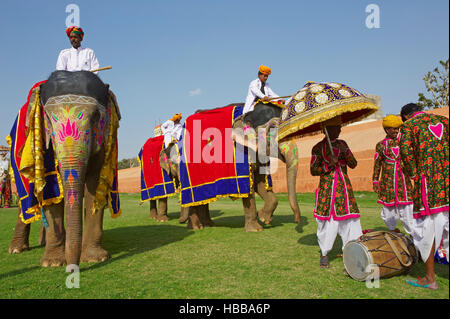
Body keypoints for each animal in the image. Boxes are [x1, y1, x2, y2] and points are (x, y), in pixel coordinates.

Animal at [8, 70, 121, 268]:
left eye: (96, 117)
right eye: (47, 117)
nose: (72, 268)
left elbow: (94, 185)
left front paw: (94, 258)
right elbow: (51, 189)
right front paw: (52, 263)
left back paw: (42, 242)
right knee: (26, 200)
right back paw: (16, 249)